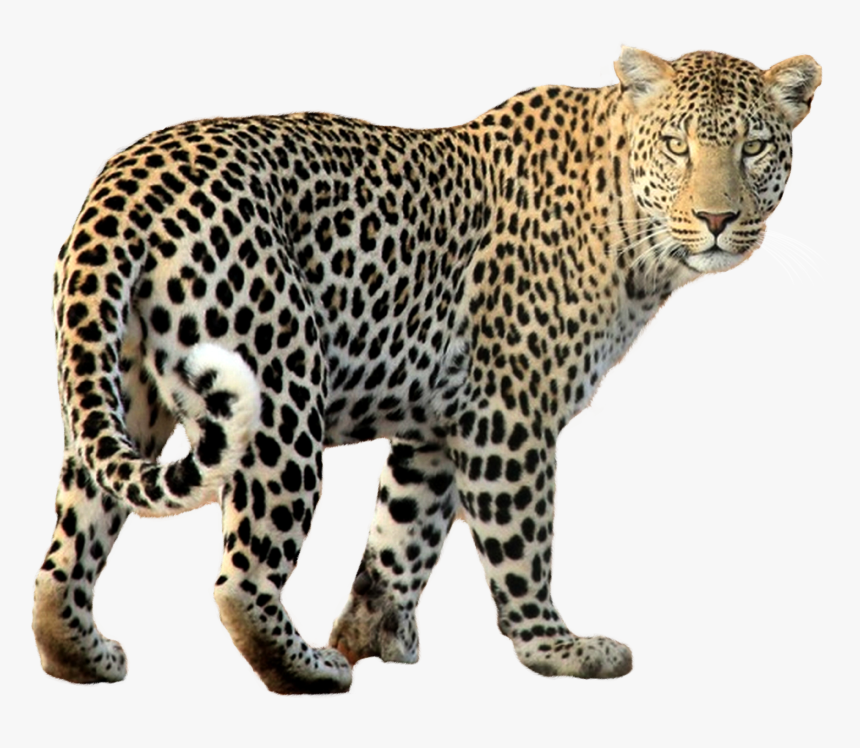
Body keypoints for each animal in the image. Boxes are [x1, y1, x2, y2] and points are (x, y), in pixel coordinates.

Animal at [33, 47, 821, 693]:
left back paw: (83, 657)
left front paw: (374, 635)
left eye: (753, 147)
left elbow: (401, 534)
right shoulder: (509, 414)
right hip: (280, 396)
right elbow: (522, 544)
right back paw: (309, 670)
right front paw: (557, 650)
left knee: (66, 552)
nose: (717, 219)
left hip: (117, 391)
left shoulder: (439, 424)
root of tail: (125, 183)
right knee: (241, 578)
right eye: (678, 146)